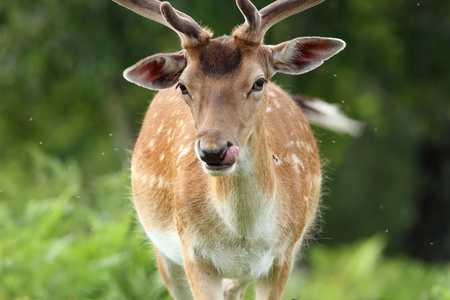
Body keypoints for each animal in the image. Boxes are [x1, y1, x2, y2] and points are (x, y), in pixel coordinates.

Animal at [112, 0, 352, 298]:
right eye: (183, 86)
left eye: (259, 82)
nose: (213, 151)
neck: (241, 235)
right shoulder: (193, 251)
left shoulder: (284, 255)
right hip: (163, 249)